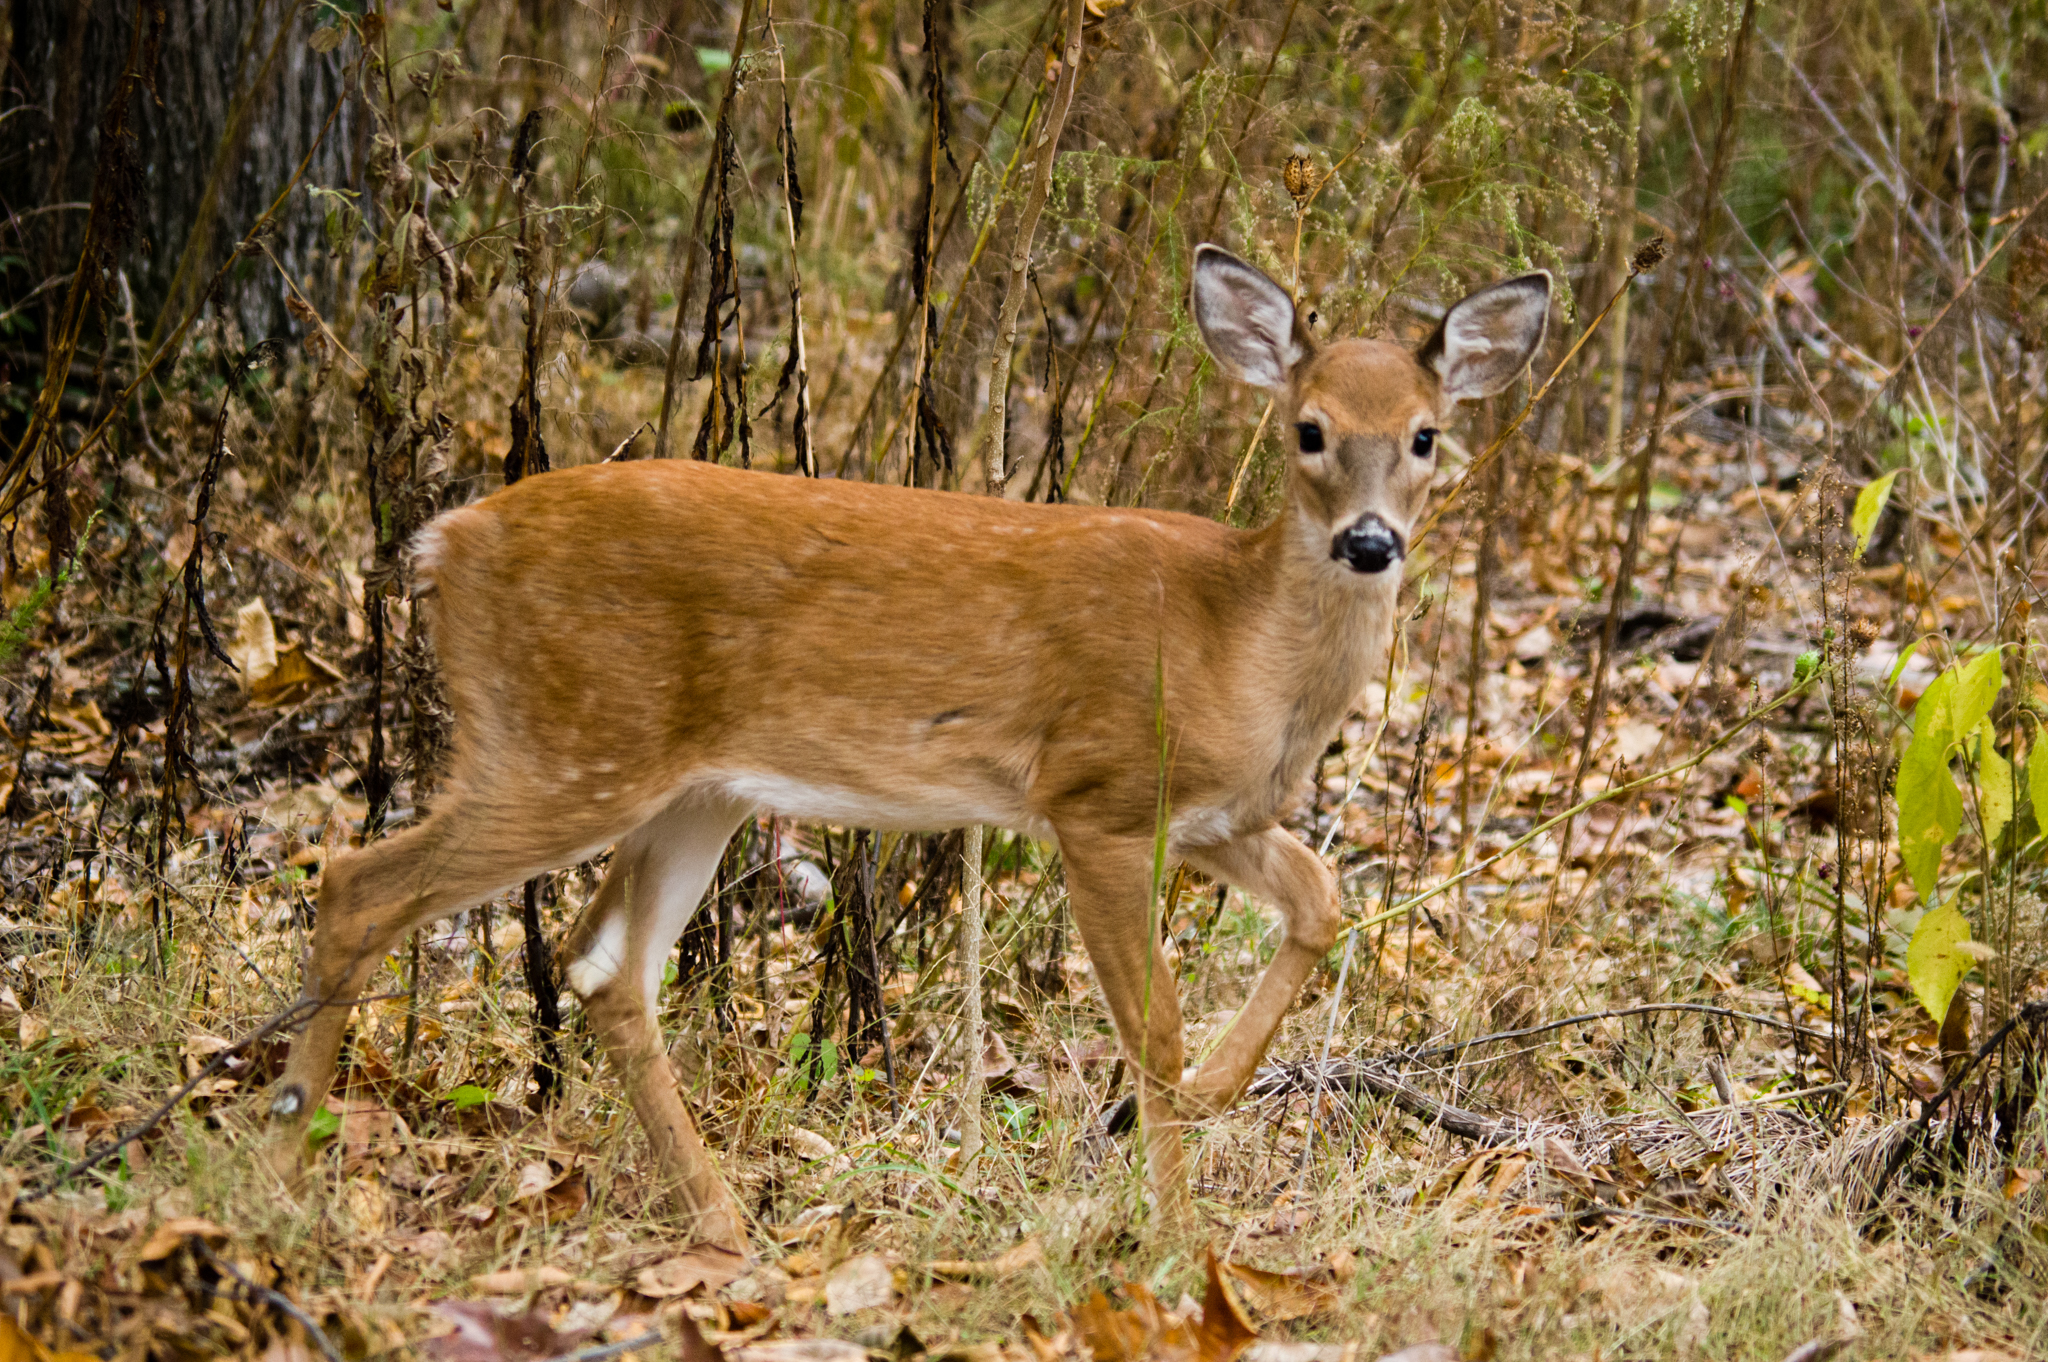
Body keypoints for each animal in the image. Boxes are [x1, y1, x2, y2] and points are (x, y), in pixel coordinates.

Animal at [264, 241, 1540, 1245]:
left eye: (1425, 436)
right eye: (1309, 429)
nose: (1368, 543)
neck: (1238, 646)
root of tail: (442, 543)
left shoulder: (1219, 816)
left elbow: (1323, 898)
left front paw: (1212, 1098)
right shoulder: (1096, 792)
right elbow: (1153, 1027)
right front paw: (1177, 1235)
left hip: (689, 787)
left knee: (602, 968)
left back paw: (721, 1221)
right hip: (562, 743)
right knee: (359, 883)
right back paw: (286, 1162)